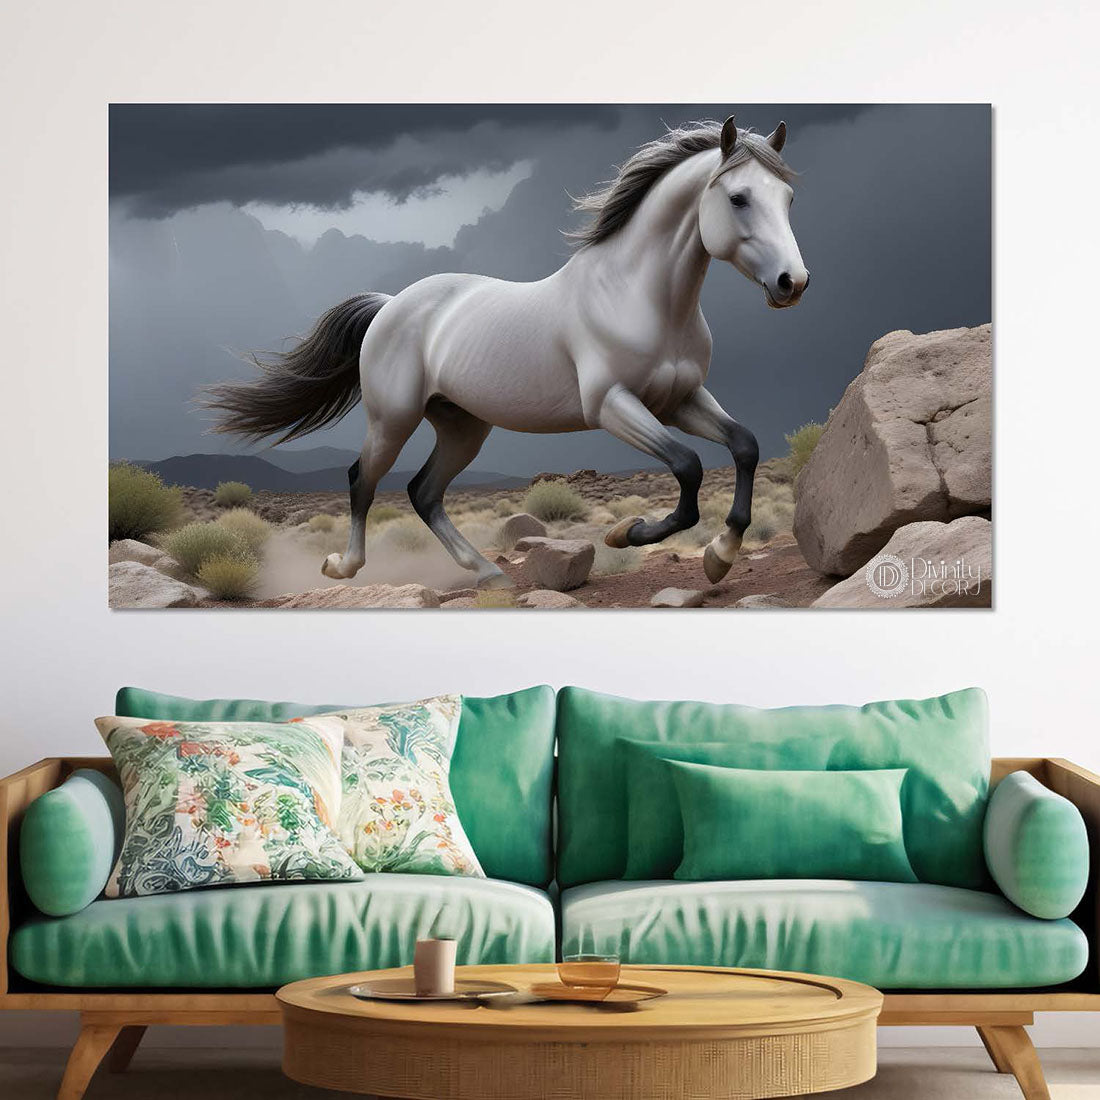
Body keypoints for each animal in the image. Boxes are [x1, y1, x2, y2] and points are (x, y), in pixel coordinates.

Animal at [206, 114, 809, 589]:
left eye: (787, 199)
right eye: (738, 198)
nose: (792, 283)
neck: (636, 296)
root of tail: (391, 304)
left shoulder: (680, 400)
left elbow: (745, 447)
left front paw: (719, 556)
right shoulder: (612, 406)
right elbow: (687, 467)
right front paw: (626, 533)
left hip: (463, 426)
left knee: (424, 492)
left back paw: (488, 572)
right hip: (392, 419)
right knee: (363, 480)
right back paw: (343, 567)